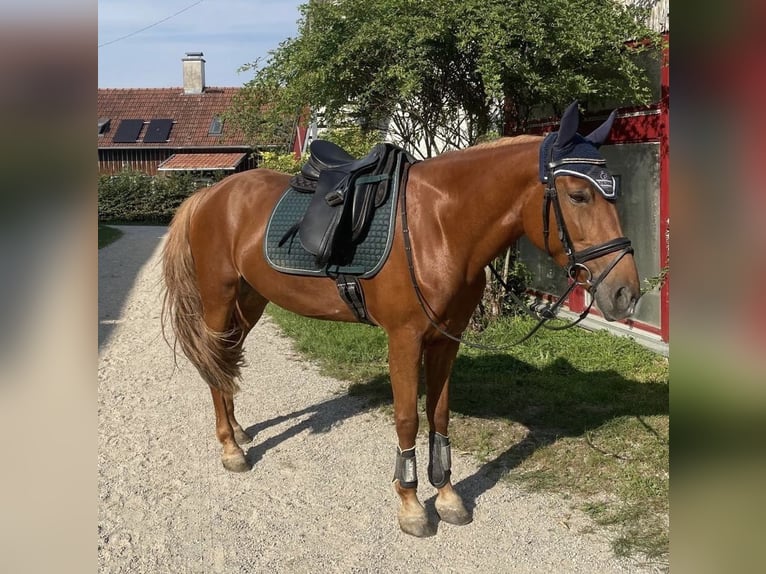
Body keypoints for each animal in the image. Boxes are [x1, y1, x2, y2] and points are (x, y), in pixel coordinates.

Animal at [161, 102, 640, 537]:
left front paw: (447, 497)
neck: (438, 228)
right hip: (219, 299)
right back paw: (230, 448)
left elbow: (439, 415)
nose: (626, 293)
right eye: (578, 195)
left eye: (614, 193)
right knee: (215, 364)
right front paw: (411, 506)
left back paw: (239, 432)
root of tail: (209, 195)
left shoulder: (447, 340)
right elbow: (408, 418)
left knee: (226, 361)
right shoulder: (405, 339)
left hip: (251, 301)